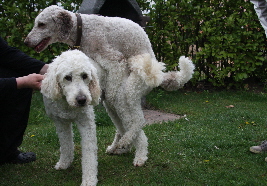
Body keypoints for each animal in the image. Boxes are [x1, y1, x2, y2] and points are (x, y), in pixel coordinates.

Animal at [25, 4, 195, 167]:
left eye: (41, 24)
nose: (26, 42)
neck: (83, 29)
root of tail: (160, 75)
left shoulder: (115, 60)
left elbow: (113, 84)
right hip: (114, 107)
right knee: (123, 125)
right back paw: (118, 147)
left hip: (130, 89)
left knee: (138, 120)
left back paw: (136, 153)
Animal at [41, 49, 101, 186]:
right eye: (67, 77)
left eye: (85, 76)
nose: (82, 100)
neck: (68, 106)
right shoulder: (61, 123)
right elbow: (65, 144)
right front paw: (64, 163)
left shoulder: (86, 123)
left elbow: (89, 151)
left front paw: (89, 178)